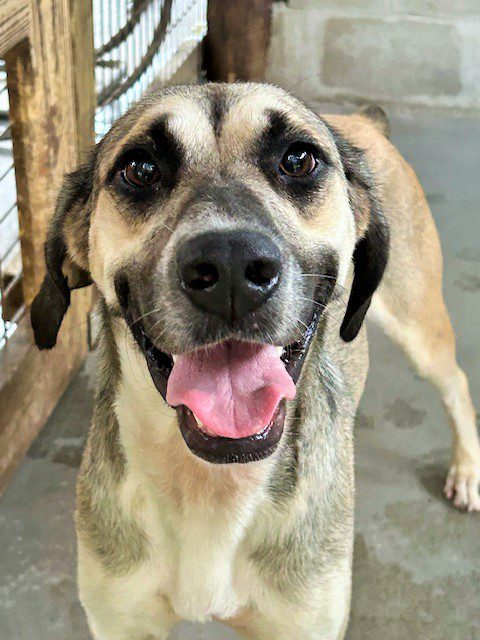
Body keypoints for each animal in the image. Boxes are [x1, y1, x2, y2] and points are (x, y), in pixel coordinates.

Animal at [31, 82, 480, 636]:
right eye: (140, 169)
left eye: (299, 160)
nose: (230, 267)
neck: (213, 486)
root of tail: (362, 120)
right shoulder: (121, 620)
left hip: (421, 327)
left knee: (456, 383)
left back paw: (467, 470)